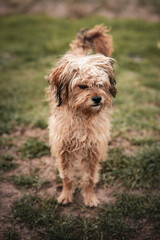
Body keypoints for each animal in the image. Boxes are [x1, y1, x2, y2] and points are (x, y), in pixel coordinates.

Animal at [47, 25, 116, 207]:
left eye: (100, 84)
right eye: (83, 86)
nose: (98, 99)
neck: (82, 115)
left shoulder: (93, 148)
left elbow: (89, 178)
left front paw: (90, 197)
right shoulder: (63, 148)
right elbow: (67, 176)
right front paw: (66, 195)